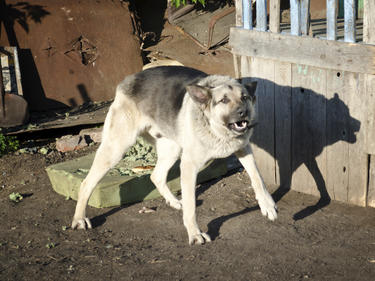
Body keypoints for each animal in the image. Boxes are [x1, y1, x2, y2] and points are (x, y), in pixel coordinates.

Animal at [72, 65, 278, 243]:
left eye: (245, 97)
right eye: (224, 100)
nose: (243, 113)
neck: (216, 129)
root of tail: (128, 80)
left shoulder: (244, 149)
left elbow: (257, 177)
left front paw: (267, 205)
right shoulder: (189, 166)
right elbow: (191, 207)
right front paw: (195, 233)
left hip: (172, 149)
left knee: (156, 176)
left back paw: (174, 202)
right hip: (116, 149)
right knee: (86, 184)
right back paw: (79, 219)